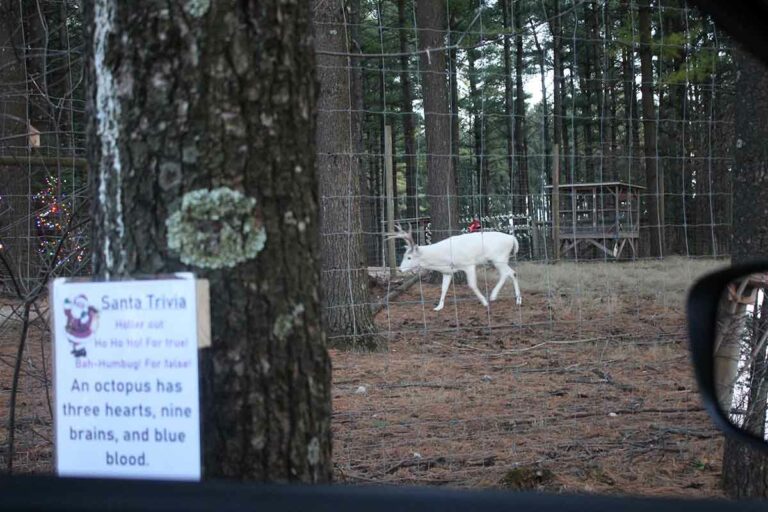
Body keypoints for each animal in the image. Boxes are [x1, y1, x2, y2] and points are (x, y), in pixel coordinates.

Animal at [390, 225, 520, 312]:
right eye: (404, 255)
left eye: (409, 257)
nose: (400, 270)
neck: (444, 258)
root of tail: (512, 238)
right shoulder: (447, 271)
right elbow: (443, 288)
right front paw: (438, 307)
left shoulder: (469, 264)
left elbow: (472, 285)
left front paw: (484, 302)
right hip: (500, 259)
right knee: (511, 273)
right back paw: (516, 299)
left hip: (499, 258)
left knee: (509, 273)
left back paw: (495, 297)